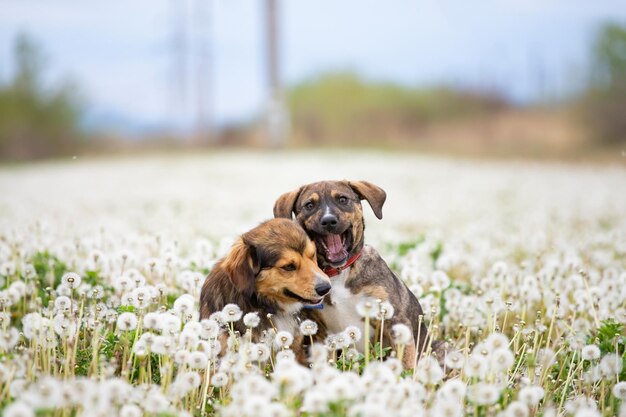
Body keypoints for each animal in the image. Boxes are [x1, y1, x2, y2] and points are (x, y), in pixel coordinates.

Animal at [272, 179, 434, 368]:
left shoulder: (395, 321)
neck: (338, 273)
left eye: (343, 199)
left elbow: (406, 363)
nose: (328, 221)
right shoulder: (322, 332)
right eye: (309, 205)